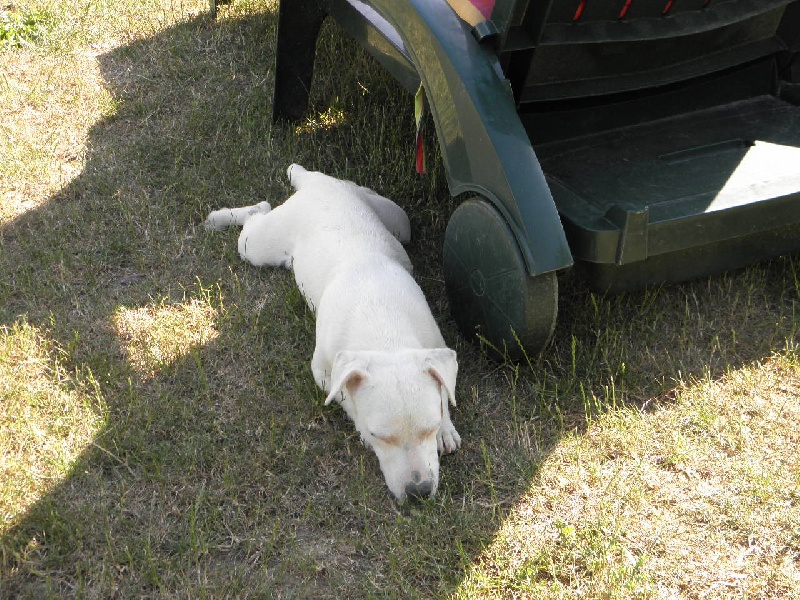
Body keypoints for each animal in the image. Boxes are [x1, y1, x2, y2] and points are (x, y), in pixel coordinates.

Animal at [203, 165, 460, 502]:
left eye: (429, 427)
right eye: (379, 435)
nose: (418, 491)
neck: (383, 326)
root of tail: (314, 183)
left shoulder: (435, 348)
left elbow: (444, 386)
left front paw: (446, 429)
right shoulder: (323, 372)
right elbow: (343, 395)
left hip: (396, 218)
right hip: (256, 247)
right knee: (258, 215)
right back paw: (223, 217)